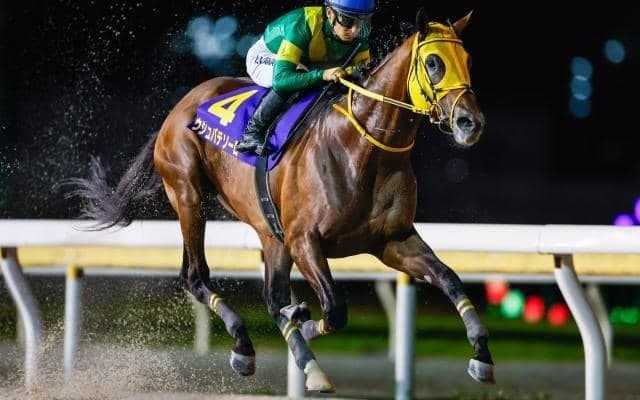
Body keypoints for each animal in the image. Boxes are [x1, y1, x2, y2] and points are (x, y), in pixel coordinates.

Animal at [68, 9, 494, 393]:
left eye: (468, 61)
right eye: (434, 62)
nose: (470, 123)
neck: (364, 149)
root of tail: (179, 107)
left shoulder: (392, 240)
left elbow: (449, 278)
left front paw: (481, 355)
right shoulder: (305, 239)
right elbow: (335, 310)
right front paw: (304, 317)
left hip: (269, 231)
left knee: (271, 296)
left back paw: (307, 365)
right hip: (189, 195)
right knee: (195, 276)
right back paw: (246, 344)